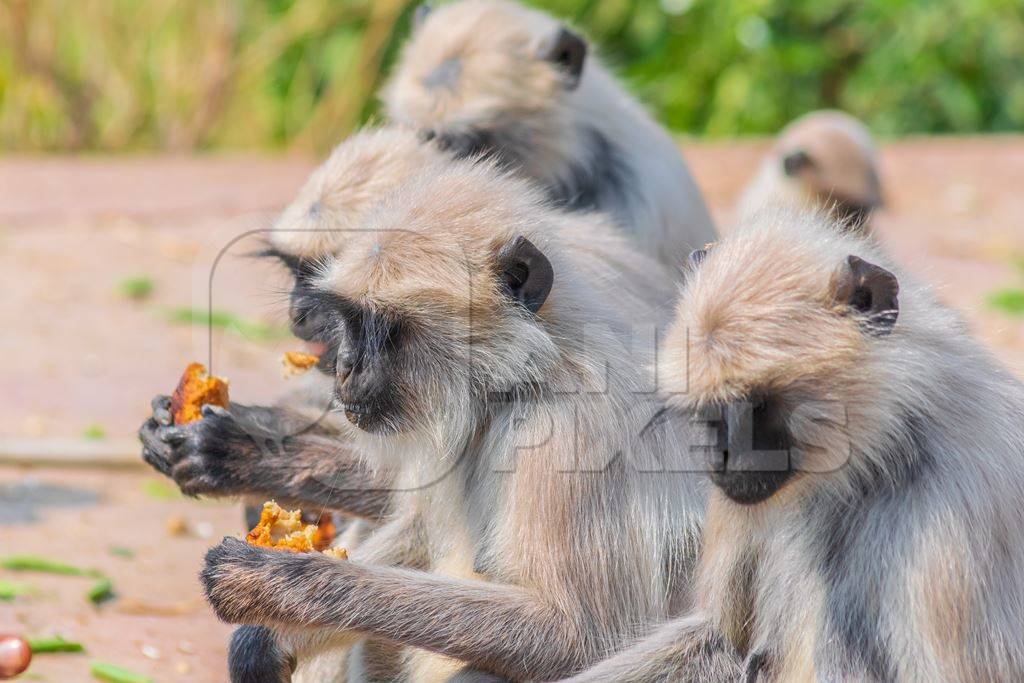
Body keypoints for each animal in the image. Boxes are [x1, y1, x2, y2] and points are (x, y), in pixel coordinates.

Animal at [195, 156, 708, 683]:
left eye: (385, 329)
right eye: (350, 321)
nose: (346, 366)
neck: (528, 380)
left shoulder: (570, 435)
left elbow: (579, 636)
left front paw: (277, 581)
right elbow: (419, 532)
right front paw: (265, 638)